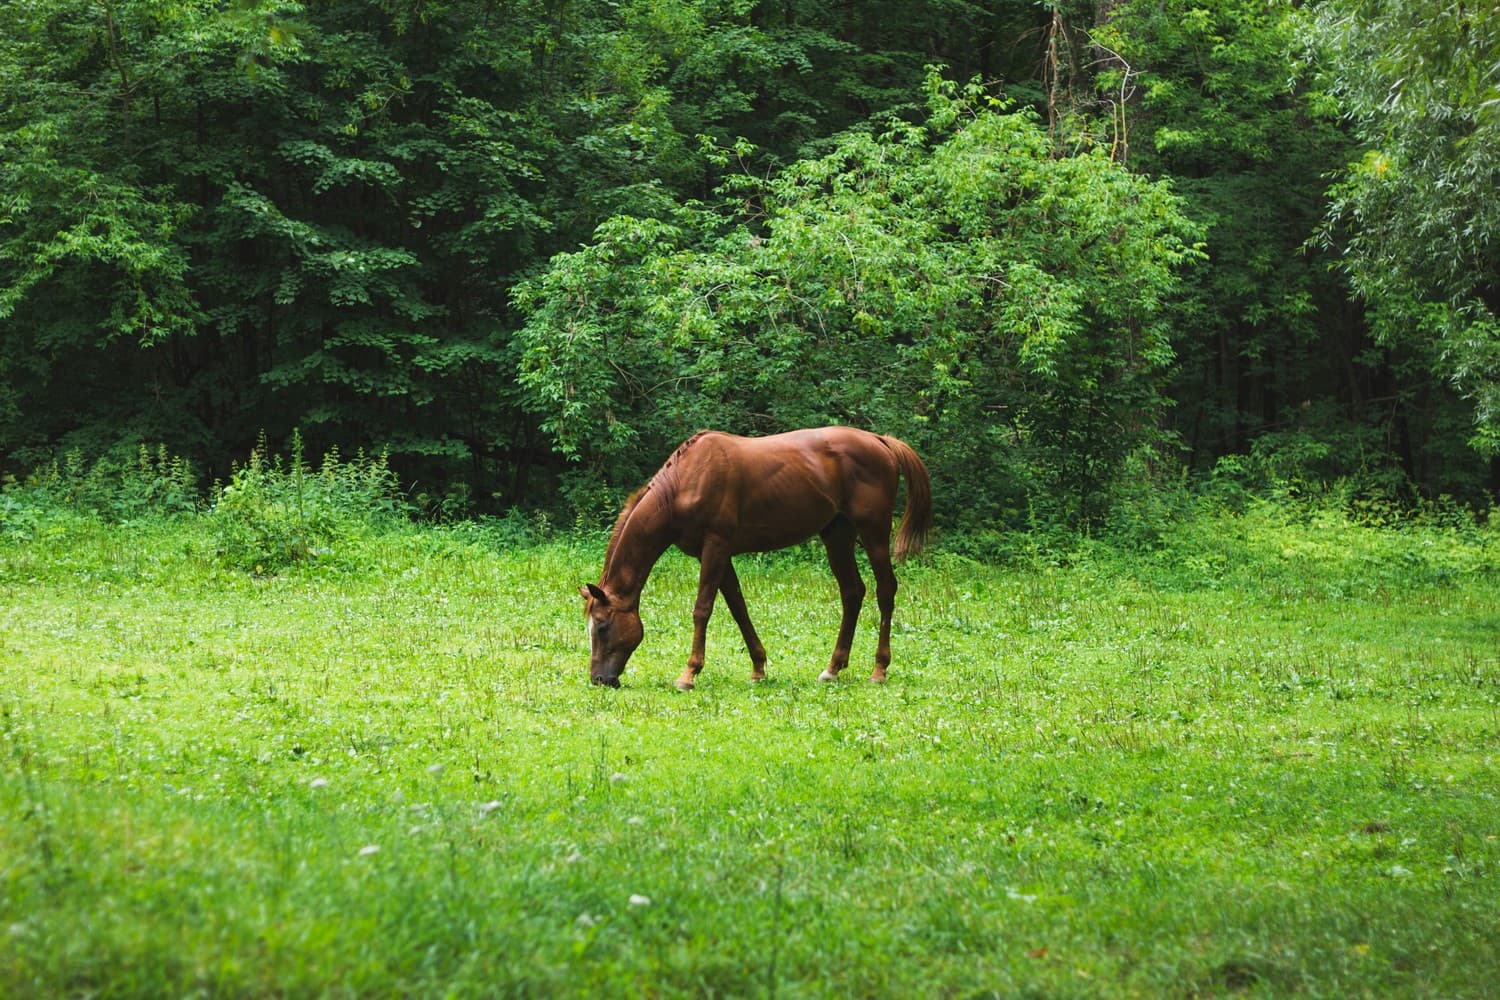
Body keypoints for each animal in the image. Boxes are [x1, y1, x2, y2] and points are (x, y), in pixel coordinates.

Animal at [576, 425, 918, 692]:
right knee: (852, 592)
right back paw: (832, 669)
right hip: (837, 535)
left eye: (602, 626)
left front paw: (688, 674)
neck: (684, 483)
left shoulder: (715, 547)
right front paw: (758, 668)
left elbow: (702, 609)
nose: (599, 679)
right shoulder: (717, 555)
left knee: (885, 590)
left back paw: (879, 669)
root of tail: (880, 441)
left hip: (874, 534)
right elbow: (738, 607)